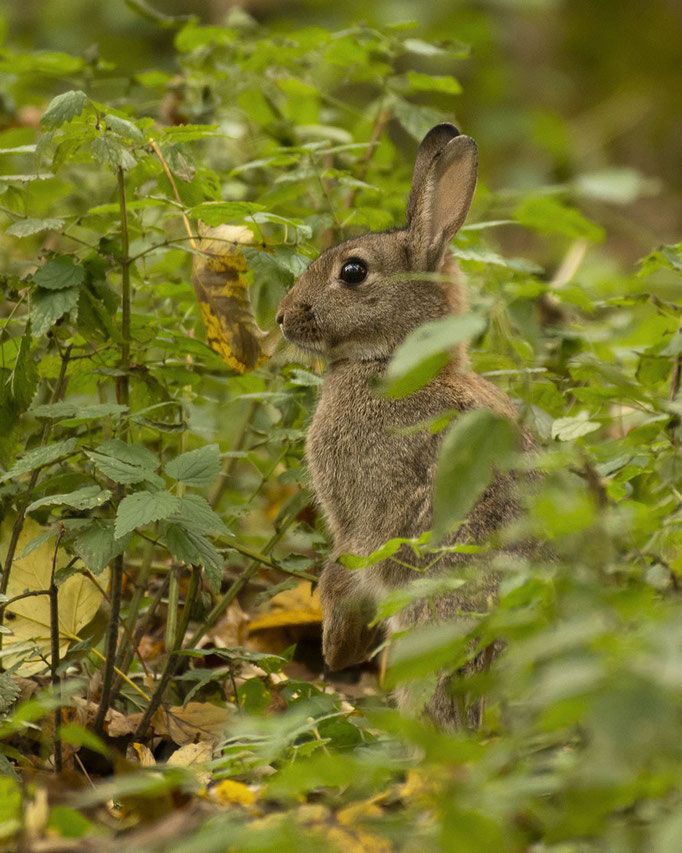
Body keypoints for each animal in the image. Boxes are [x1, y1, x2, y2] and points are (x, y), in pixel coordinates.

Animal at [274, 125, 524, 724]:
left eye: (353, 271)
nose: (282, 317)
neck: (395, 363)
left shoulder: (361, 519)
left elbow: (345, 572)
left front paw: (336, 647)